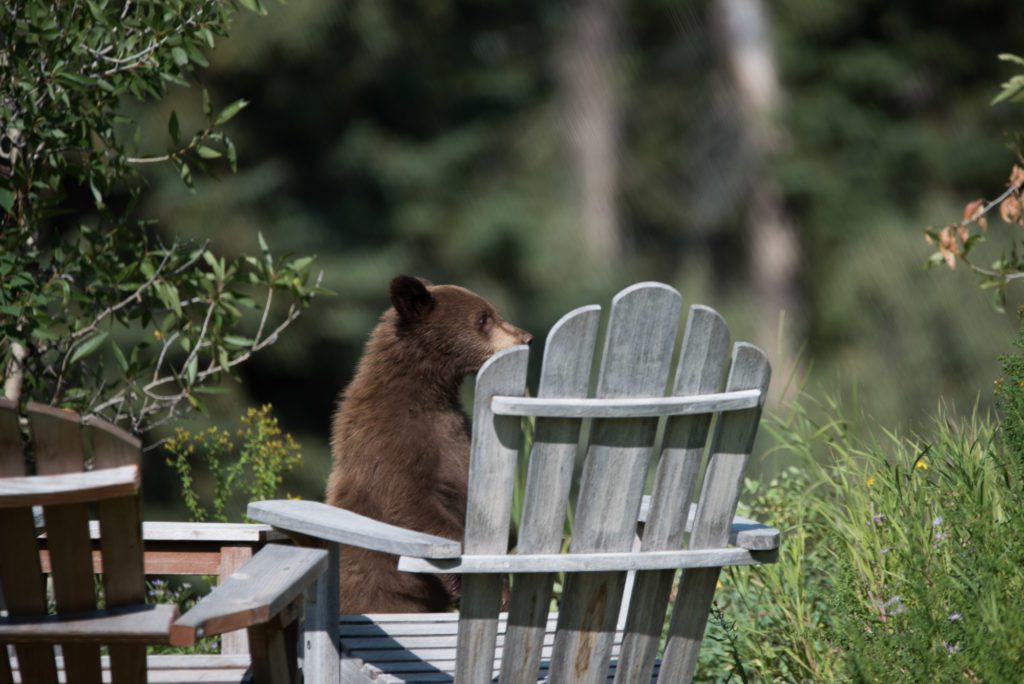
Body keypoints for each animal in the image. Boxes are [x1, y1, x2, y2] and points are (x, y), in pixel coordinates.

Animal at [326, 275, 532, 613]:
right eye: (483, 318)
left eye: (493, 312)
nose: (526, 338)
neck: (427, 395)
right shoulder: (393, 444)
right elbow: (412, 506)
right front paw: (496, 590)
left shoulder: (456, 435)